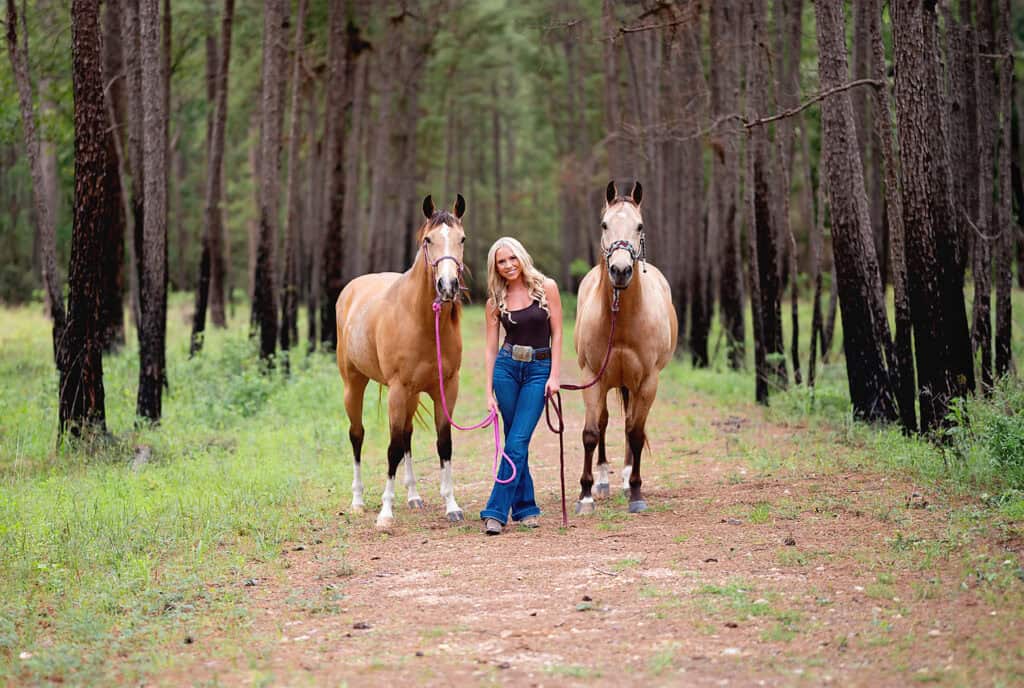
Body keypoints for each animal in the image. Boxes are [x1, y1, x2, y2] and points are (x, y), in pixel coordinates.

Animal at [333, 196, 466, 528]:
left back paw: (413, 496)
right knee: (357, 435)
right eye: (428, 240)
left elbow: (443, 444)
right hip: (354, 384)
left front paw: (451, 505)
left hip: (413, 394)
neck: (421, 320)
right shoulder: (396, 389)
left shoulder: (446, 389)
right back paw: (357, 501)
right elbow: (392, 448)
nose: (448, 286)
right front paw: (385, 512)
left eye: (462, 239)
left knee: (407, 435)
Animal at [573, 180, 675, 513]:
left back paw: (627, 477)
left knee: (631, 424)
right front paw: (586, 494)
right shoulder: (591, 376)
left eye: (639, 225)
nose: (620, 270)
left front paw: (636, 492)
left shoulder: (648, 381)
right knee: (605, 422)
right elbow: (592, 432)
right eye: (604, 224)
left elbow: (635, 432)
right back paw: (604, 479)